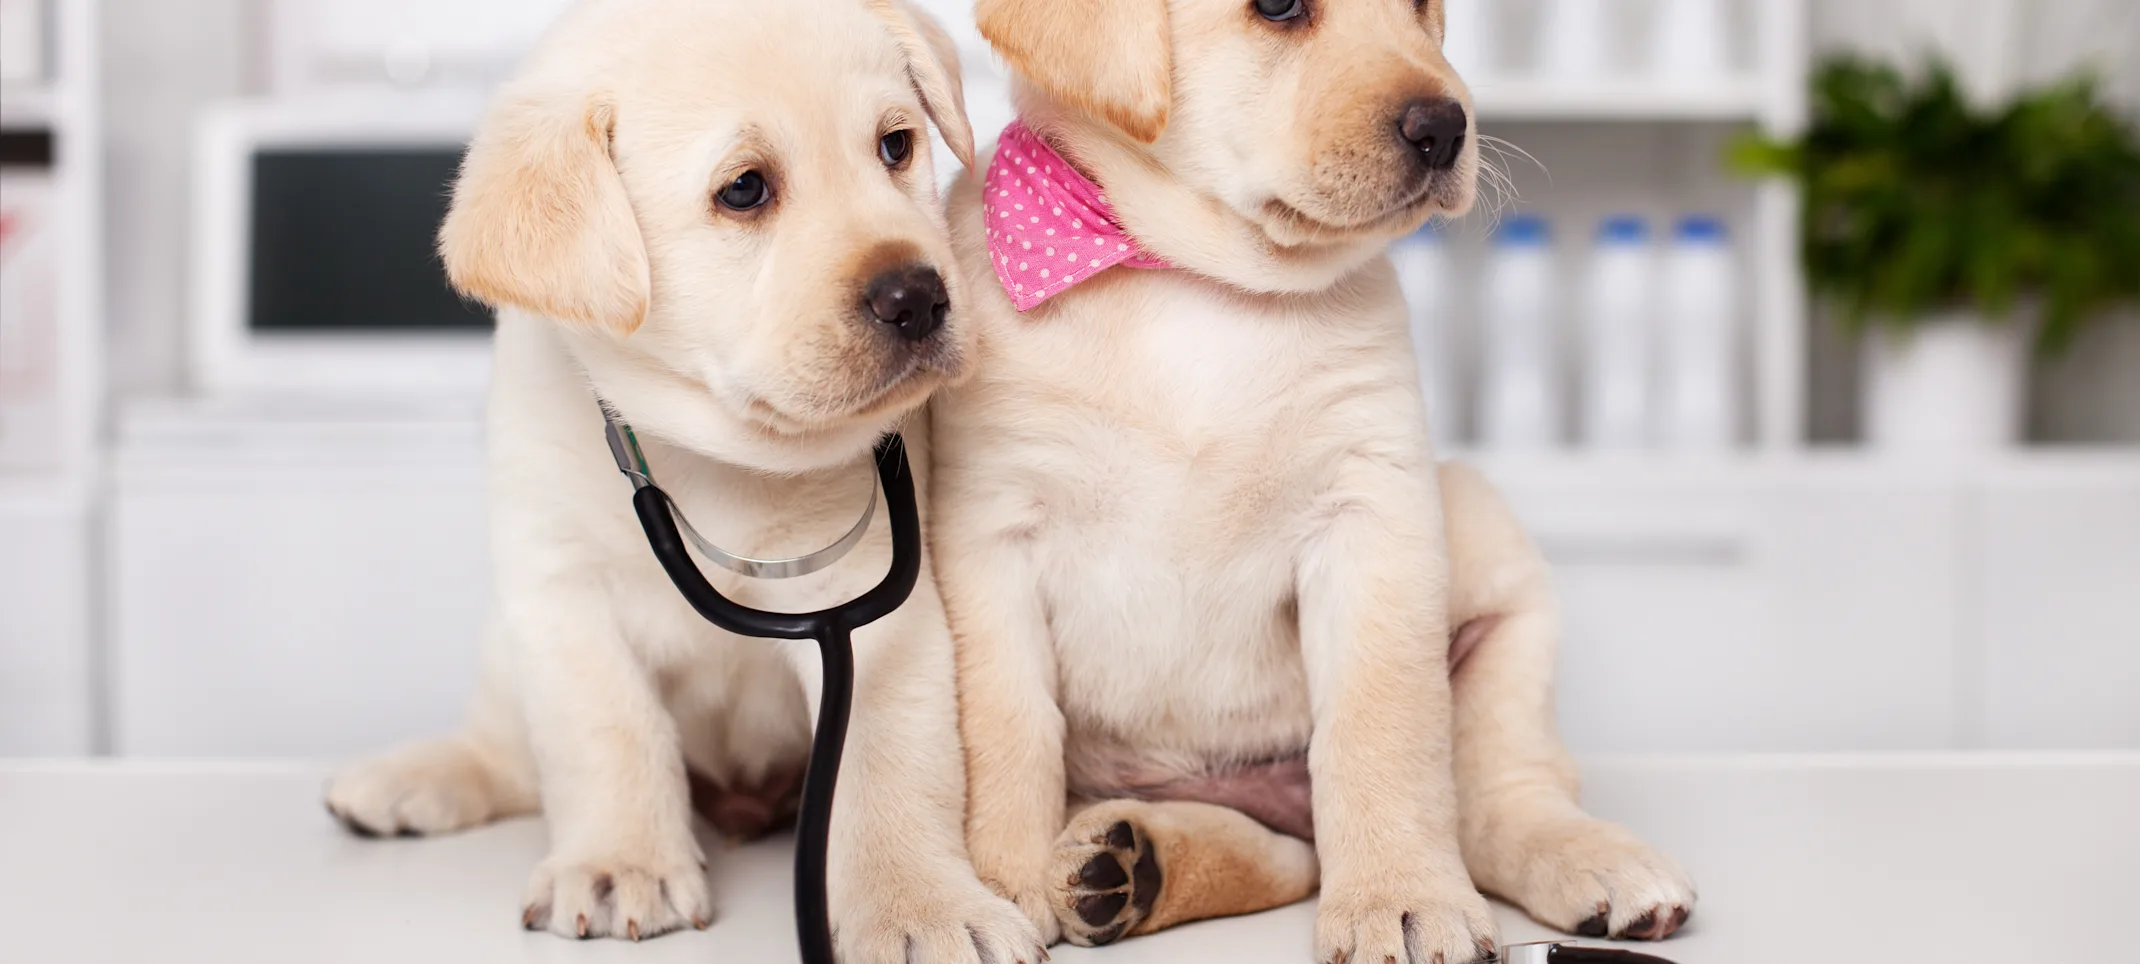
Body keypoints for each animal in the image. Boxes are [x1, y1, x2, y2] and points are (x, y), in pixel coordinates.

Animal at [323, 1, 1044, 955]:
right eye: (744, 190)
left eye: (896, 146)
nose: (918, 297)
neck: (716, 453)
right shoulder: (559, 590)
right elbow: (606, 729)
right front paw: (619, 863)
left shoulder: (878, 611)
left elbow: (889, 763)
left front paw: (920, 907)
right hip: (504, 648)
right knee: (506, 748)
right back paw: (411, 779)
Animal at [937, 0, 1686, 955]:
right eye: (1281, 8)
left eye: (1426, 11)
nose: (1447, 128)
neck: (1190, 282)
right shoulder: (987, 532)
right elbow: (1005, 728)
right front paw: (996, 884)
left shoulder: (1372, 511)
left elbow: (1380, 727)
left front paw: (1403, 899)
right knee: (1282, 856)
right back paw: (1124, 865)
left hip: (1490, 549)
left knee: (1496, 797)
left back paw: (1590, 859)